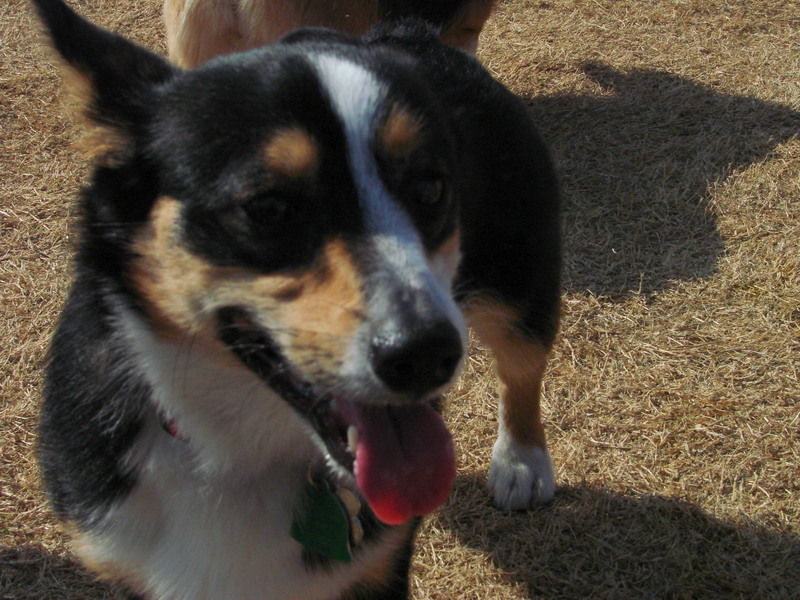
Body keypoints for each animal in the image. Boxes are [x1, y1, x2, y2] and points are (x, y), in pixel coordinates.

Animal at [34, 0, 564, 596]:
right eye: (268, 208)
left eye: (431, 188)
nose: (428, 355)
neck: (233, 456)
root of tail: (409, 33)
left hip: (519, 277)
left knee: (522, 365)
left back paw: (522, 460)